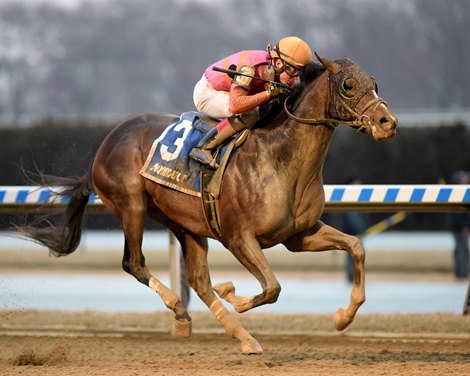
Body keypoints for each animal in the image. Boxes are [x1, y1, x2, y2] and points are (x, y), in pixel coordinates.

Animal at [21, 53, 396, 352]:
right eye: (348, 84)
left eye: (375, 82)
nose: (387, 122)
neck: (280, 158)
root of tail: (106, 143)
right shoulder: (238, 237)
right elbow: (272, 288)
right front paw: (234, 294)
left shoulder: (298, 236)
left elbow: (356, 247)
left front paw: (343, 317)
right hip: (132, 206)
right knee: (134, 263)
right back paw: (180, 308)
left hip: (183, 223)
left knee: (199, 282)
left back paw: (240, 337)